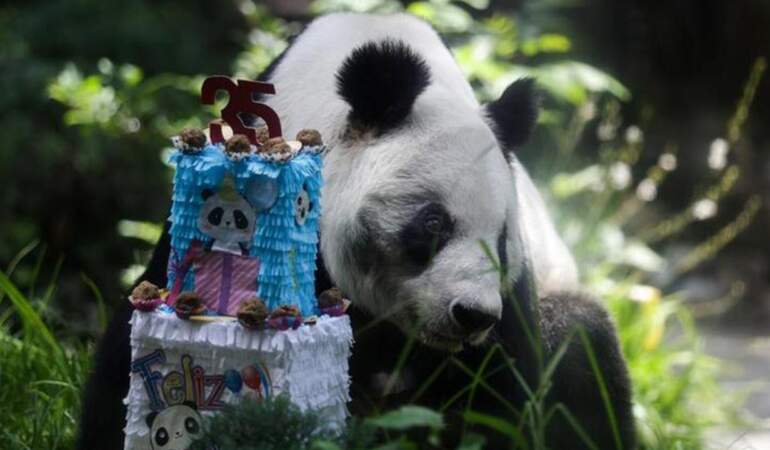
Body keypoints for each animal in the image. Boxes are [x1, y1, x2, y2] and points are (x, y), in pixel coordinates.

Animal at [78, 13, 635, 450]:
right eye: (433, 224)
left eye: (500, 241)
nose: (472, 315)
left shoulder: (513, 302)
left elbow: (507, 397)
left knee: (583, 347)